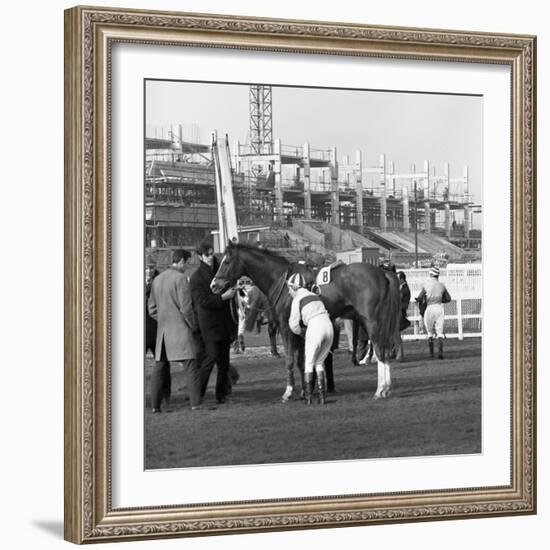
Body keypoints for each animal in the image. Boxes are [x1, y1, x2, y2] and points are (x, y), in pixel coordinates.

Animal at [211, 246, 402, 402]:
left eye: (226, 261)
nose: (214, 285)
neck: (281, 280)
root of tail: (383, 273)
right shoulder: (301, 330)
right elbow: (301, 362)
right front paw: (304, 391)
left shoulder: (286, 326)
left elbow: (289, 360)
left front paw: (289, 392)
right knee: (384, 351)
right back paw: (385, 388)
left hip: (372, 321)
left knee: (379, 350)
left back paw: (380, 390)